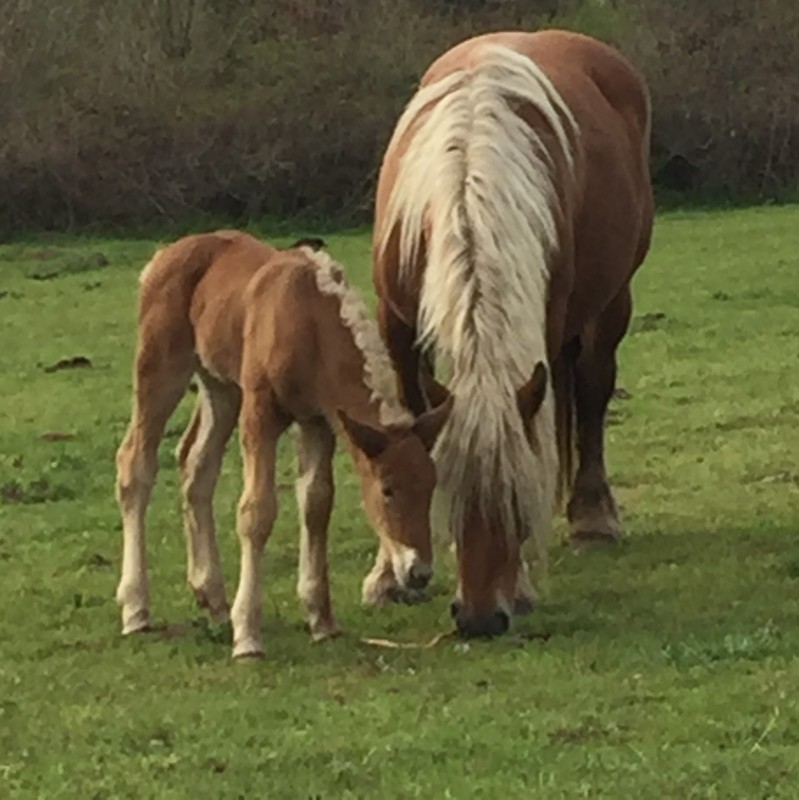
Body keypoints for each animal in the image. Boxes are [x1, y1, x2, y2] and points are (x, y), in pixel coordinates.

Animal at [113, 231, 454, 656]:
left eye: (430, 487)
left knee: (196, 464)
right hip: (162, 367)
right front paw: (248, 635)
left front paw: (321, 618)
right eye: (387, 490)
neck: (309, 319)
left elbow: (317, 503)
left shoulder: (317, 422)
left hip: (220, 386)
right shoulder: (260, 412)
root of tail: (165, 254)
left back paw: (212, 598)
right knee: (135, 463)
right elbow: (257, 511)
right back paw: (136, 609)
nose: (419, 572)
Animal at [372, 29, 652, 636]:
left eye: (517, 501)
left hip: (612, 300)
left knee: (592, 391)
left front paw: (521, 580)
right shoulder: (396, 325)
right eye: (448, 494)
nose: (480, 619)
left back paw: (593, 519)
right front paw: (388, 575)